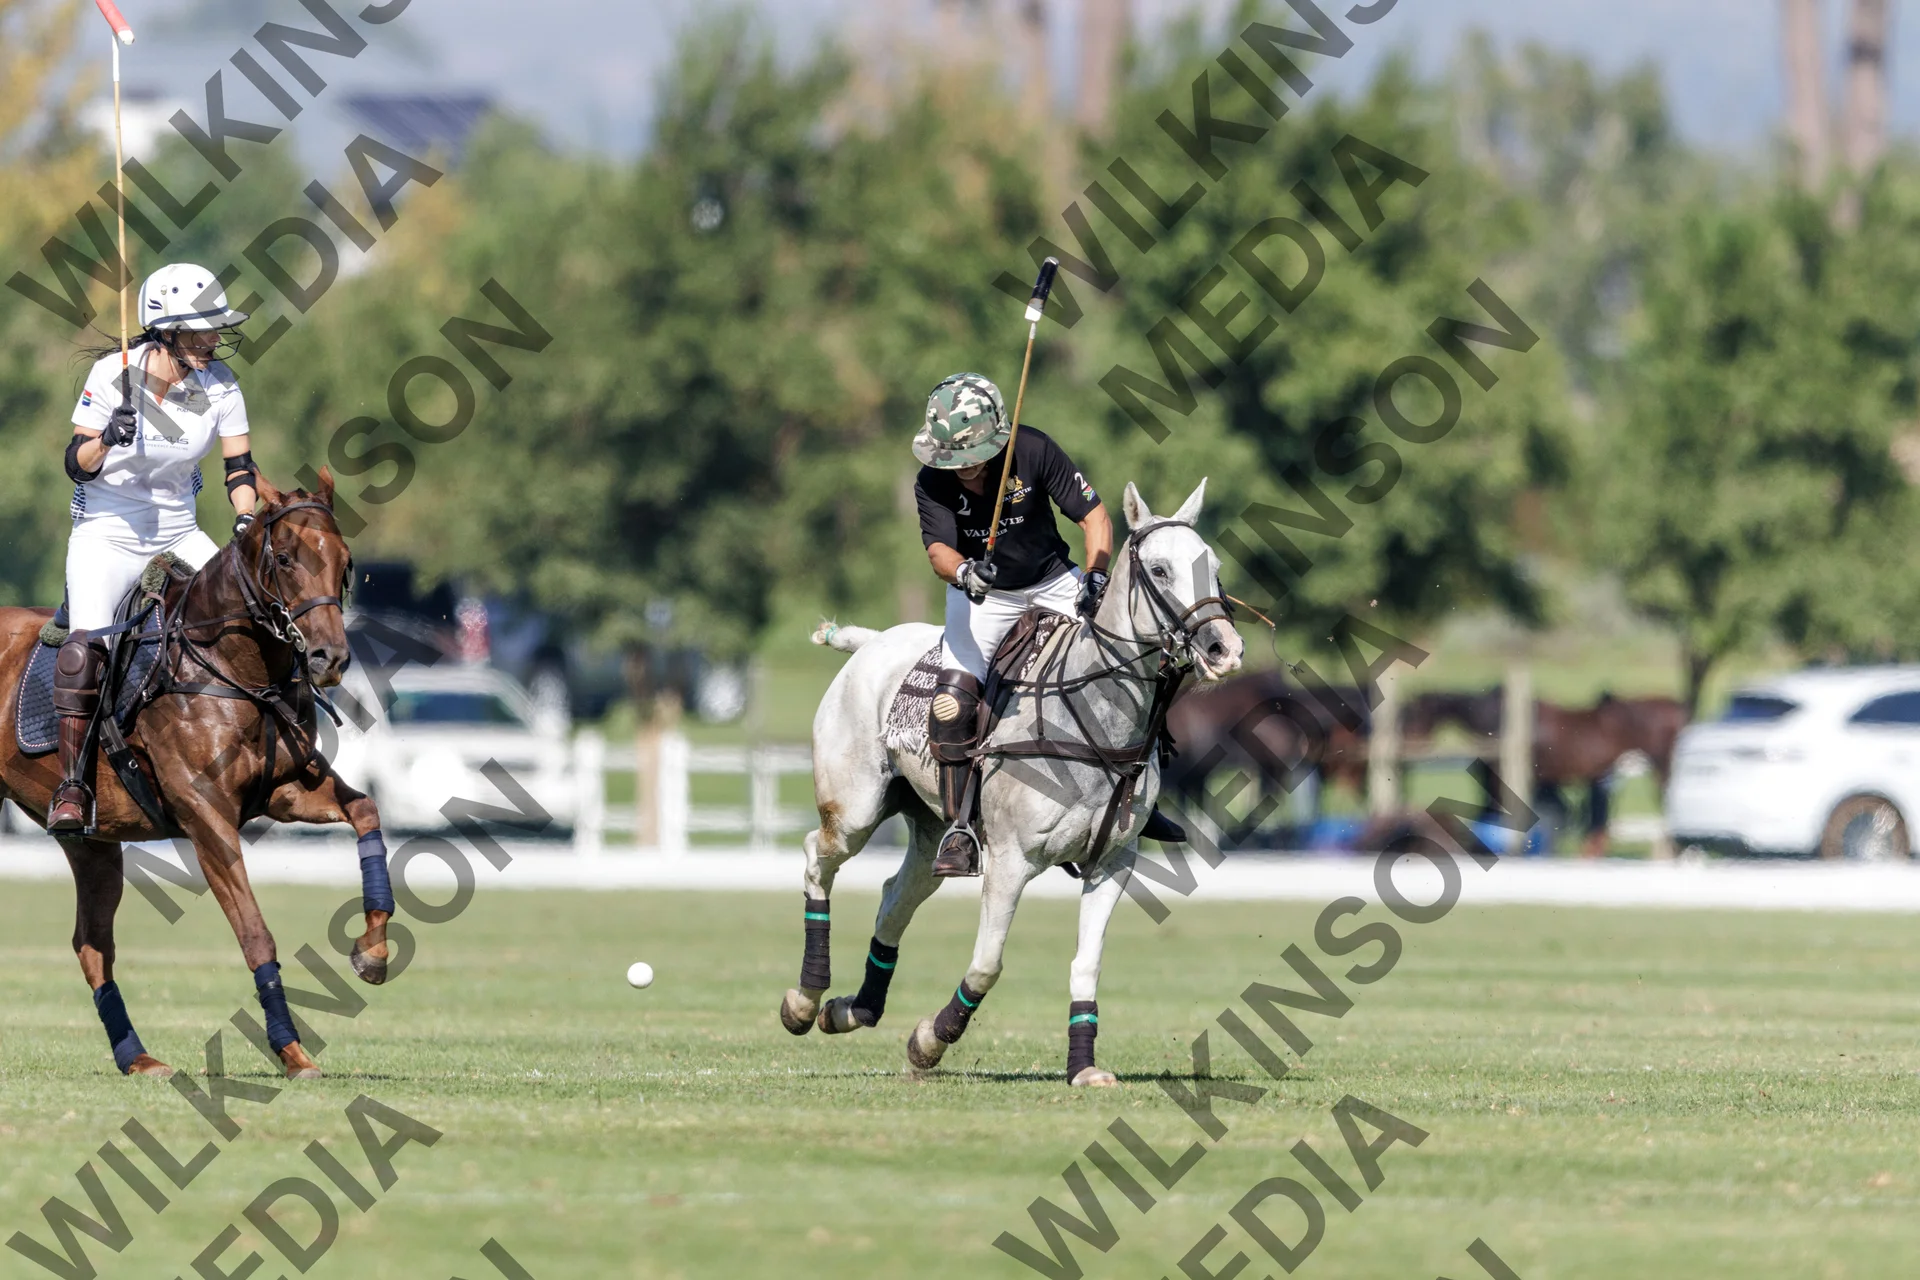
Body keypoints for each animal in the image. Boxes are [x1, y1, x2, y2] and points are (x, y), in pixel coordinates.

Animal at [0, 471, 394, 1080]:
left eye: (345, 561)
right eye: (284, 558)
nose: (329, 659)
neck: (235, 669)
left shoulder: (286, 791)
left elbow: (366, 809)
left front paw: (371, 952)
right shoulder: (206, 814)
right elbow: (255, 932)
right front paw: (291, 1050)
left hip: (91, 843)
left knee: (92, 944)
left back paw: (138, 1058)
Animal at [779, 480, 1244, 1085]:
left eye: (1212, 567)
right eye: (1161, 571)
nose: (1224, 650)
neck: (1093, 716)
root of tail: (873, 642)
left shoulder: (1113, 863)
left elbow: (1086, 963)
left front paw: (1083, 1068)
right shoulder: (1009, 860)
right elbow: (987, 964)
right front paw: (929, 1041)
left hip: (933, 826)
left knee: (895, 897)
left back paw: (851, 1009)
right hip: (855, 807)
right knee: (818, 855)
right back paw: (805, 1000)